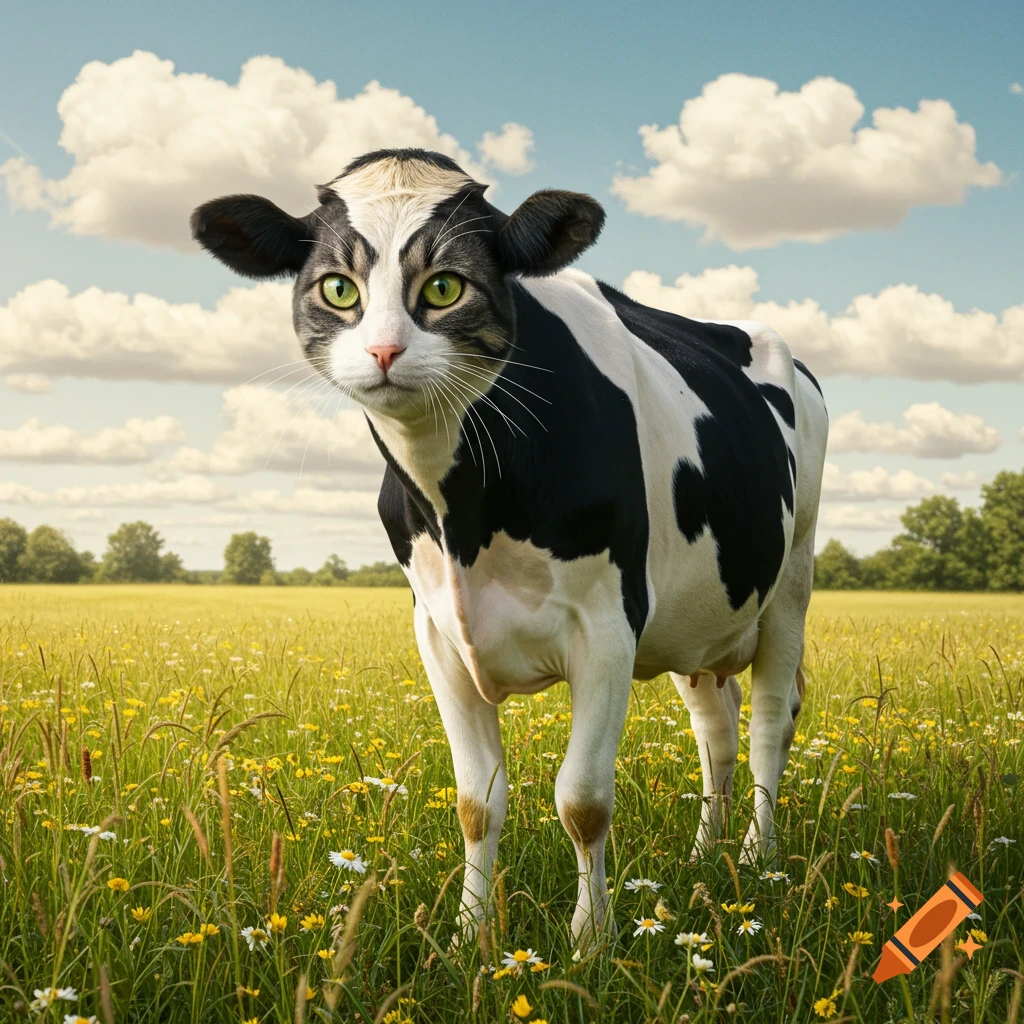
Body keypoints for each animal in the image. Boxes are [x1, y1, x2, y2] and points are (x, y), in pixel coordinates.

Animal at [191, 148, 829, 947]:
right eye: (338, 287)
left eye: (444, 285)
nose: (383, 351)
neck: (466, 512)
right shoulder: (437, 633)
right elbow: (476, 800)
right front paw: (470, 935)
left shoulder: (608, 627)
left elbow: (583, 800)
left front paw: (590, 942)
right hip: (699, 614)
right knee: (715, 727)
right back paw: (705, 854)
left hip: (791, 582)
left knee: (772, 716)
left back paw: (758, 858)